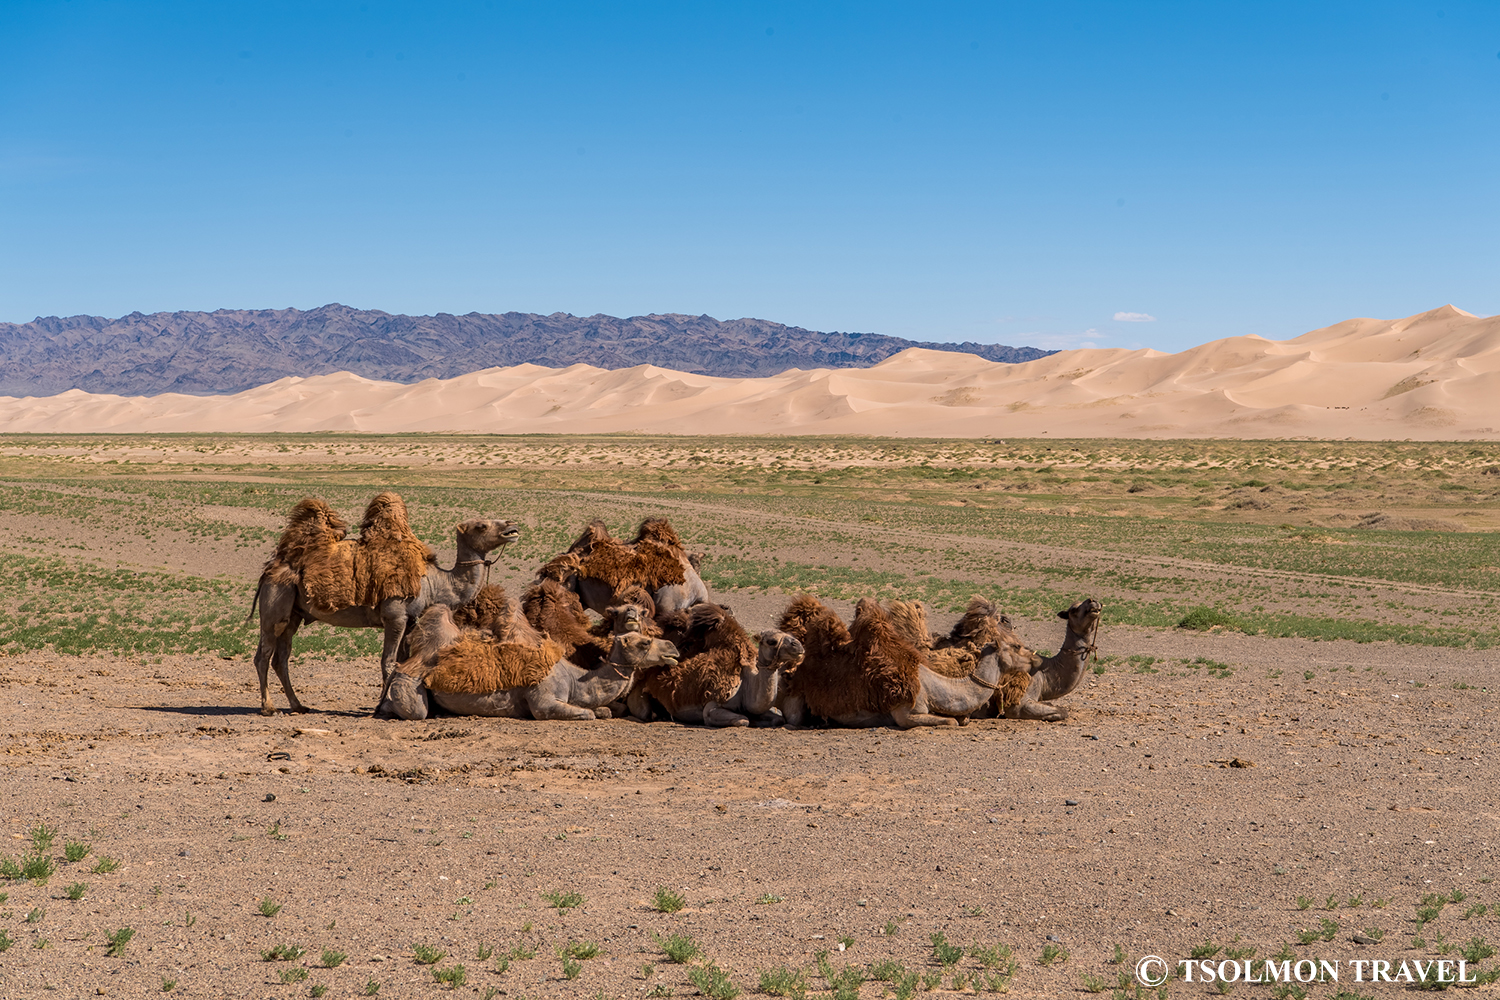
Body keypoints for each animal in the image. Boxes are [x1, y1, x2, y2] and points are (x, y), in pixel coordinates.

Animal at [252, 494, 522, 716]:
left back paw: (298, 706)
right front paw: (380, 708)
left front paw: (389, 704)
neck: (435, 581)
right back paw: (269, 708)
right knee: (264, 654)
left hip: (294, 613)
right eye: (481, 525)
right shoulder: (395, 615)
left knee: (281, 657)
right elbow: (388, 661)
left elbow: (401, 660)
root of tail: (270, 567)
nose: (512, 527)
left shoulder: (411, 621)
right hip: (276, 601)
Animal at [375, 599, 681, 722]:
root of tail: (410, 661)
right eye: (644, 642)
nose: (673, 650)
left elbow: (605, 710)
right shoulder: (542, 700)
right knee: (415, 710)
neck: (575, 679)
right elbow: (589, 713)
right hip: (410, 682)